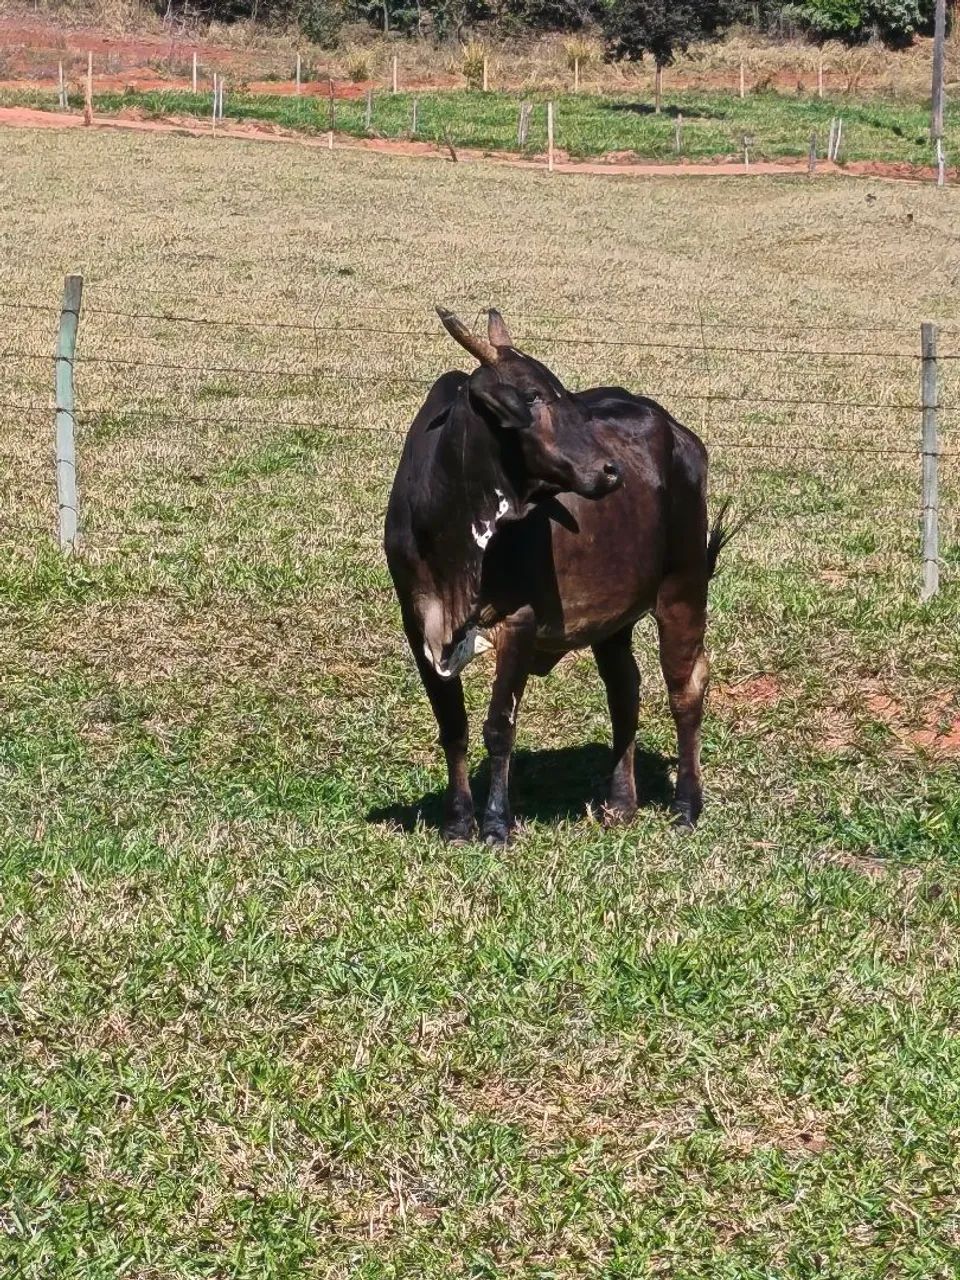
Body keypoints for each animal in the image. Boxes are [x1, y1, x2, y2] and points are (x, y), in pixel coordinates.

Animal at [384, 307, 729, 844]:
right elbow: (453, 726)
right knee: (624, 690)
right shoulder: (418, 624)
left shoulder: (519, 619)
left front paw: (496, 824)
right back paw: (620, 803)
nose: (610, 471)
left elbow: (499, 726)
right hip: (615, 618)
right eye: (532, 397)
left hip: (685, 586)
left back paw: (686, 805)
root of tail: (679, 431)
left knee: (685, 689)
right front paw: (457, 821)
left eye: (562, 393)